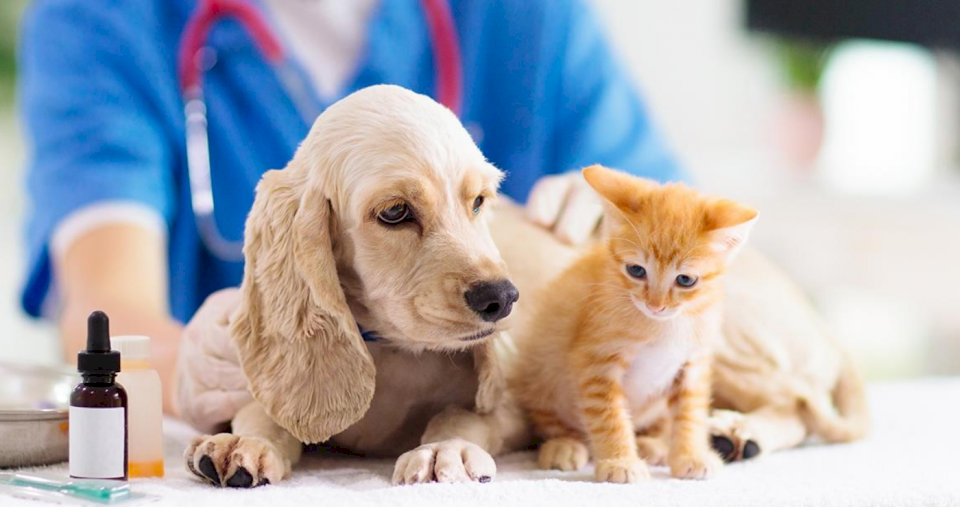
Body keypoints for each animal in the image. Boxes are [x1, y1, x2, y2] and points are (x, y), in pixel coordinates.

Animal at [512, 167, 760, 484]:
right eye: (636, 270)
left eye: (685, 280)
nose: (655, 305)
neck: (665, 327)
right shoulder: (596, 363)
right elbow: (609, 416)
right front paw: (620, 462)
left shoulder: (693, 364)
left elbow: (690, 413)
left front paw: (690, 455)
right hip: (542, 371)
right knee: (551, 418)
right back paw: (564, 445)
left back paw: (652, 444)